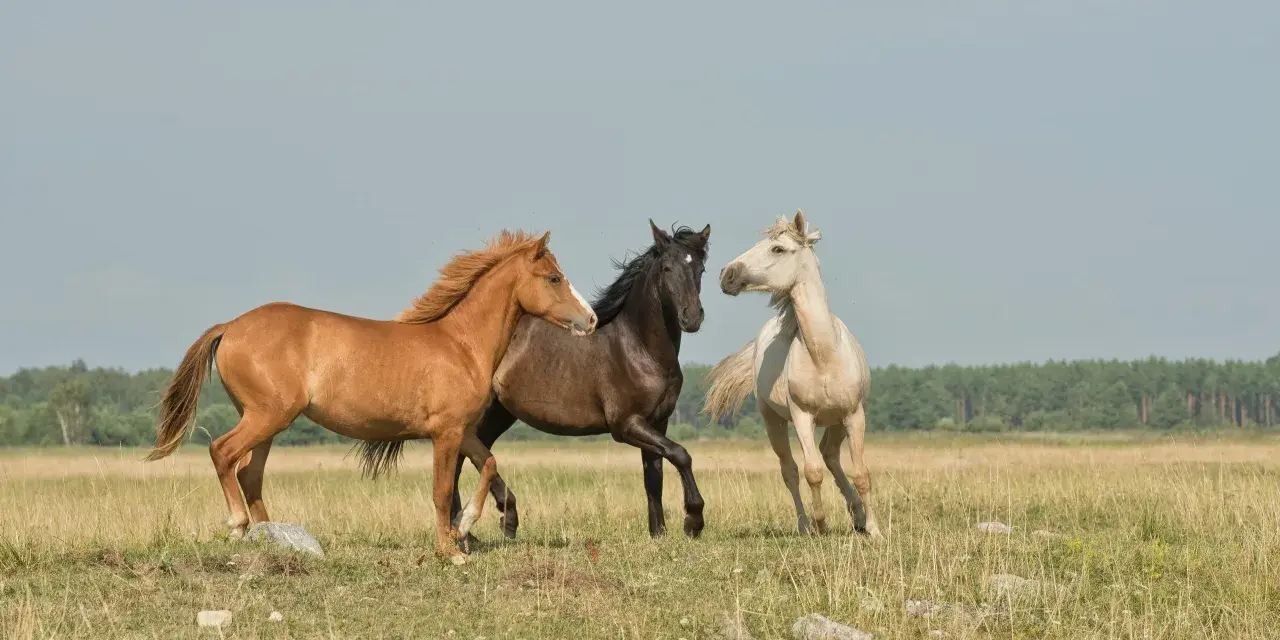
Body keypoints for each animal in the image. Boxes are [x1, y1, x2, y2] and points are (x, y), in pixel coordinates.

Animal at [145, 230, 598, 564]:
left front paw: (465, 527)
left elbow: (488, 464)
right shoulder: (445, 433)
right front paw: (450, 551)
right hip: (266, 416)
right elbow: (440, 490)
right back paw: (239, 526)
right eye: (553, 278)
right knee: (222, 453)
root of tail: (231, 326)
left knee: (249, 474)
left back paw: (272, 537)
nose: (591, 319)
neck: (461, 344)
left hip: (267, 422)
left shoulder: (464, 431)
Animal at [448, 221, 711, 539]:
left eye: (700, 269)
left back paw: (480, 525)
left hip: (500, 413)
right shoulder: (626, 425)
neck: (639, 348)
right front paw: (693, 521)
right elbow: (681, 454)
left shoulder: (657, 422)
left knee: (472, 454)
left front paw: (658, 533)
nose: (692, 317)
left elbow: (654, 477)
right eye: (667, 268)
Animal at [703, 211, 881, 538]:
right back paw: (805, 525)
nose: (727, 274)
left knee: (831, 455)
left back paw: (858, 516)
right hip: (773, 420)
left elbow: (861, 473)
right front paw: (821, 524)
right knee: (791, 470)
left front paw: (874, 530)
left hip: (837, 421)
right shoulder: (802, 417)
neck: (824, 355)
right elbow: (812, 472)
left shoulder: (854, 415)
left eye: (778, 249)